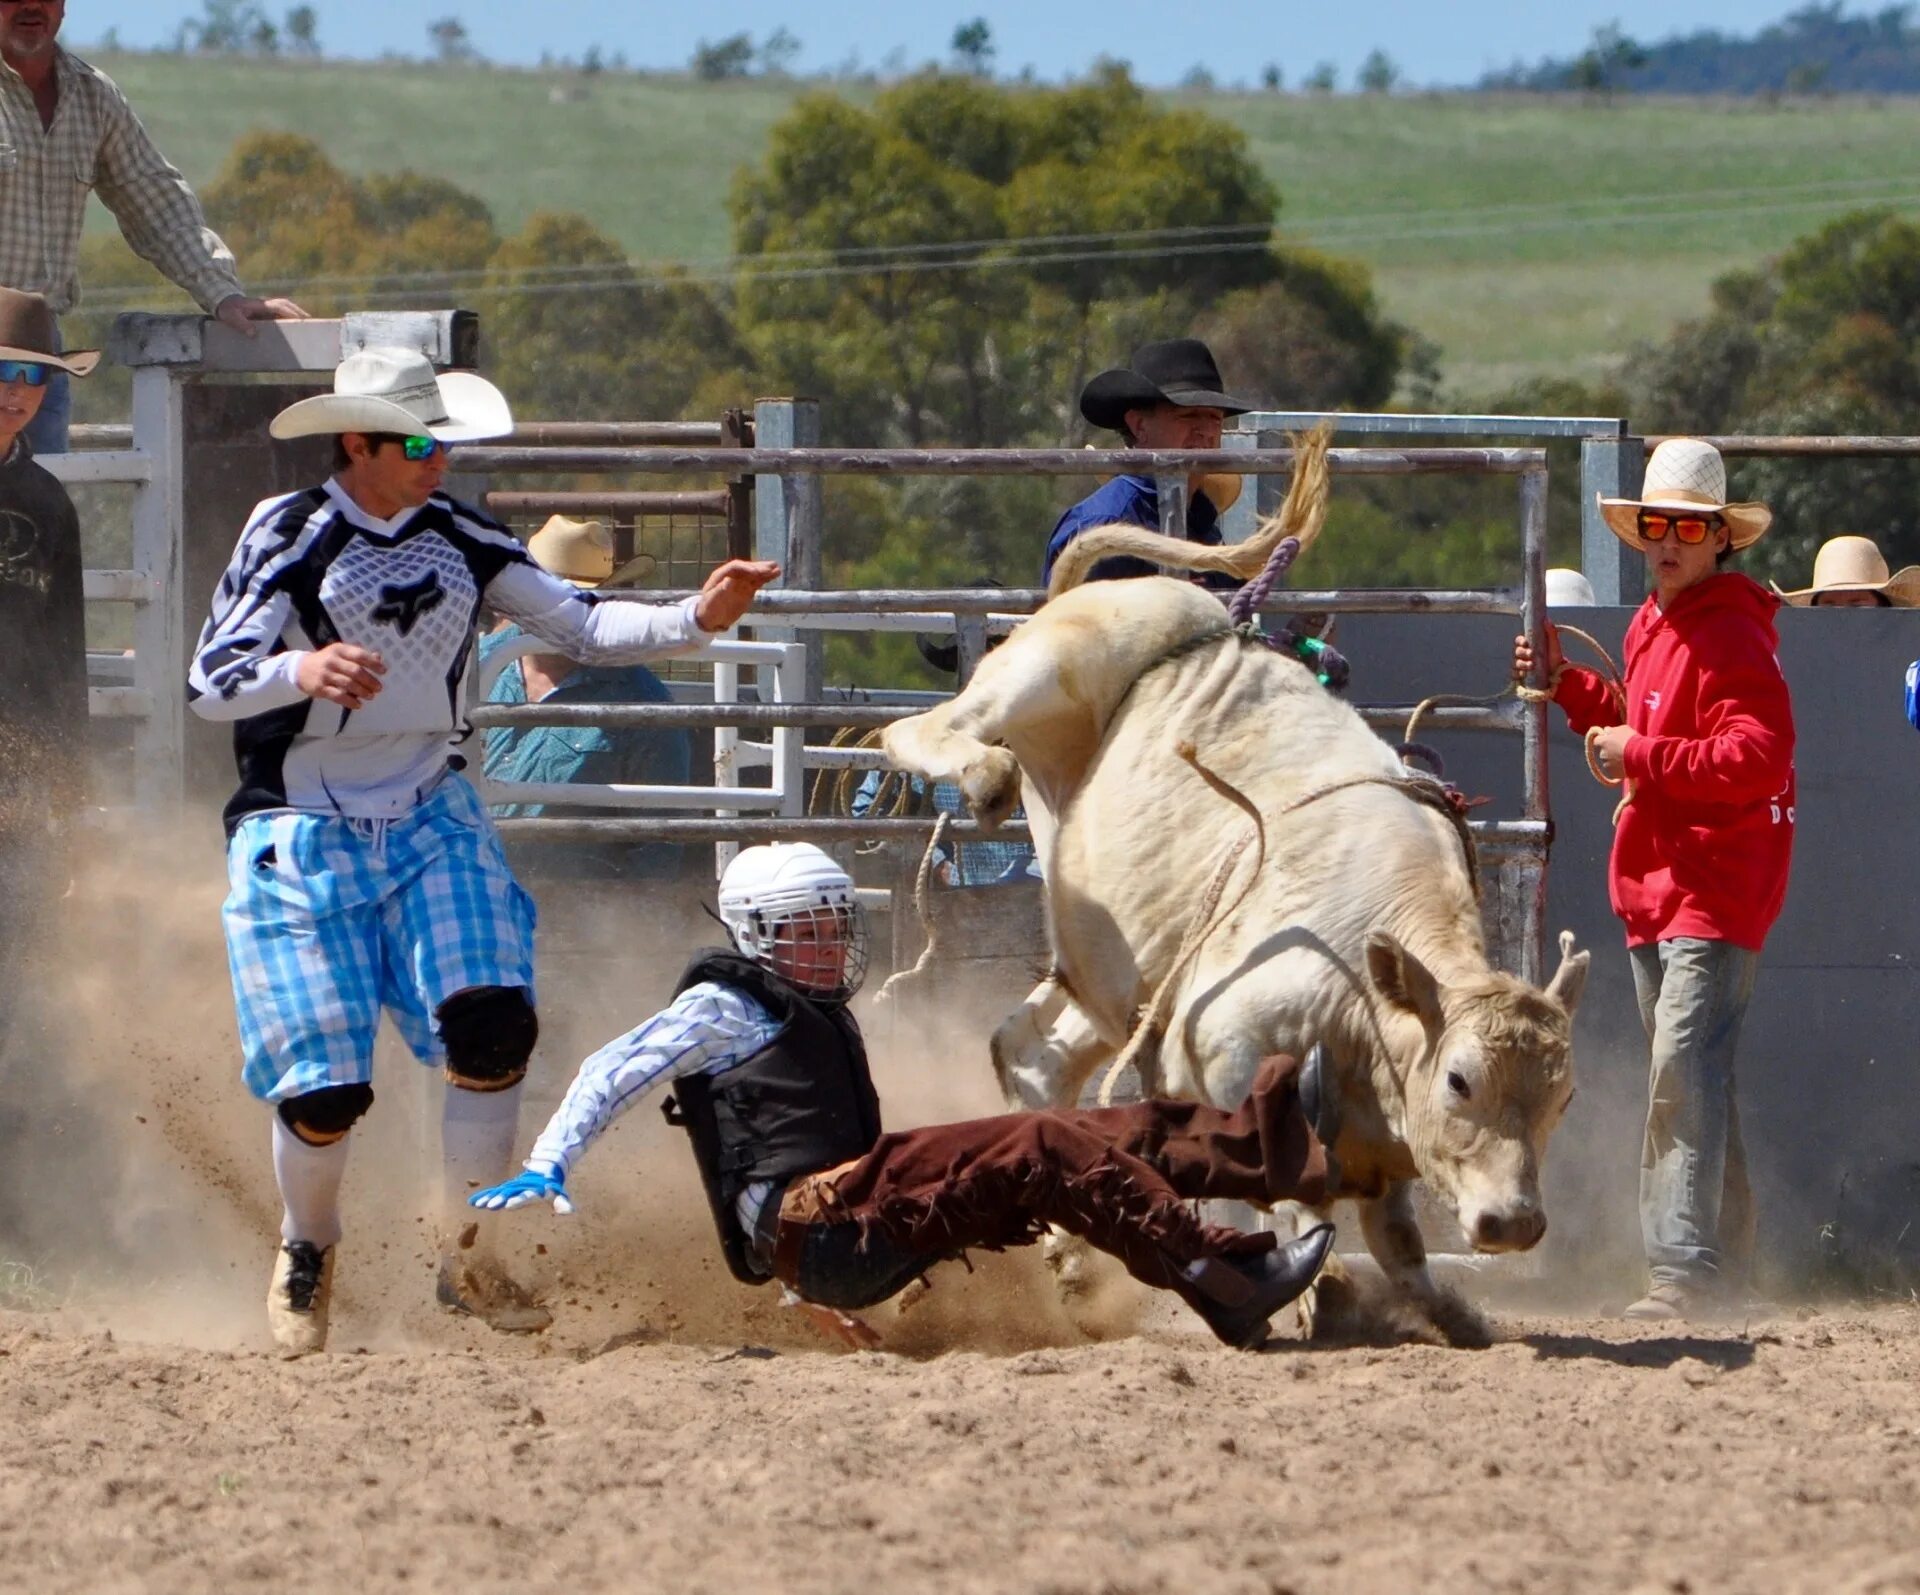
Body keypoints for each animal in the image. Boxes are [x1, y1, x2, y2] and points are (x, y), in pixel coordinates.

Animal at [887, 470, 1589, 1335]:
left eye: (1563, 1094)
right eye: (1459, 1080)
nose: (1514, 1224)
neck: (1361, 984)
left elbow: (1398, 1239)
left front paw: (1438, 1311)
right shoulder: (1222, 1052)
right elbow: (1275, 1182)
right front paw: (1306, 1286)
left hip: (1116, 967)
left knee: (1031, 1054)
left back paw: (1074, 1260)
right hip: (1037, 673)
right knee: (923, 725)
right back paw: (984, 776)